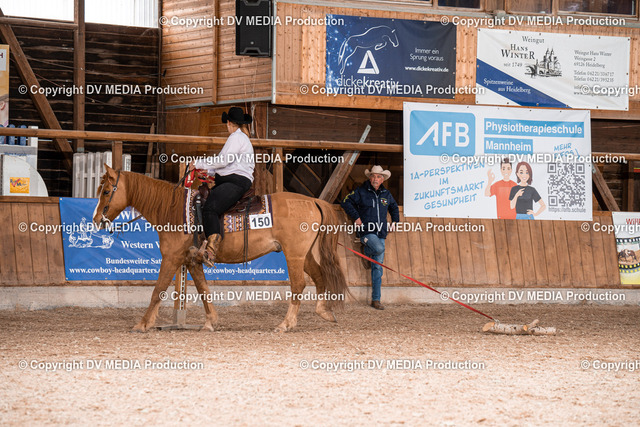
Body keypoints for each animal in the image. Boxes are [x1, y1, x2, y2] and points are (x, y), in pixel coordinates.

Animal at [92, 165, 349, 333]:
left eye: (106, 191)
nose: (96, 220)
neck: (174, 210)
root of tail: (313, 200)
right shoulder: (191, 261)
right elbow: (203, 290)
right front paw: (210, 322)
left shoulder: (171, 258)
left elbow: (158, 289)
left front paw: (143, 323)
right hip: (304, 255)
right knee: (319, 275)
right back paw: (324, 311)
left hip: (294, 255)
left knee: (298, 285)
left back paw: (285, 324)